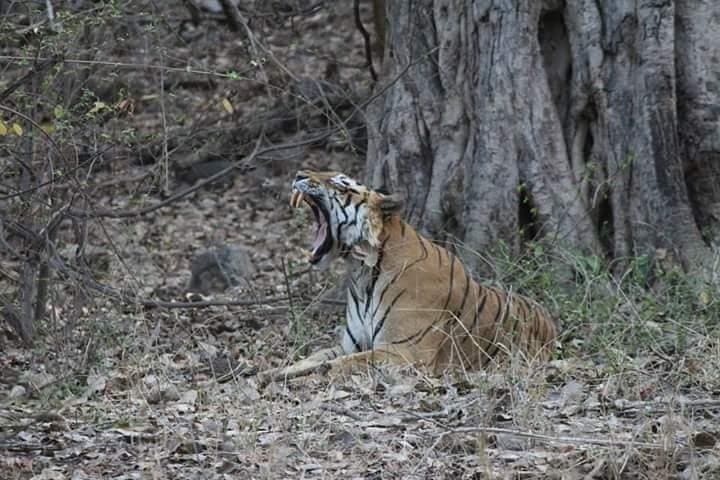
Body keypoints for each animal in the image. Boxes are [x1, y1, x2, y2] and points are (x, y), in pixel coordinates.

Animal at [258, 170, 558, 385]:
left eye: (341, 185)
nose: (299, 174)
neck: (361, 271)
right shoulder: (350, 344)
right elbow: (312, 357)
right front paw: (270, 373)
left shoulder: (405, 352)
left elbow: (341, 364)